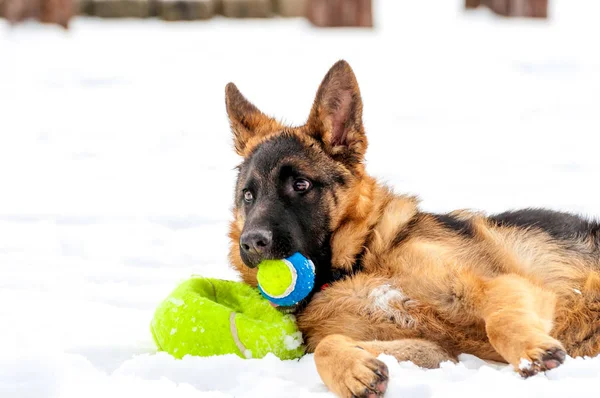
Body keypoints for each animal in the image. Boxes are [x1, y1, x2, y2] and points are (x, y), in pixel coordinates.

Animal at [224, 60, 600, 396]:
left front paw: (530, 352)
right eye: (248, 195)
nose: (252, 243)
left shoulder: (501, 286)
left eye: (300, 185)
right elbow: (328, 345)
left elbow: (500, 321)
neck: (357, 263)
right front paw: (353, 372)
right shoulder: (434, 349)